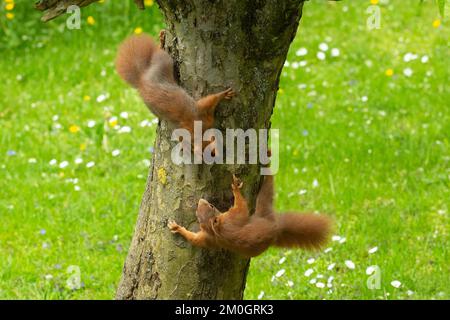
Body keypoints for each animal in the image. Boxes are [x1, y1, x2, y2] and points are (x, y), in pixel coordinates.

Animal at [167, 172, 332, 258]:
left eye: (210, 206)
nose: (201, 200)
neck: (216, 228)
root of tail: (277, 228)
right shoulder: (232, 218)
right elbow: (242, 206)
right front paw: (235, 187)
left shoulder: (208, 238)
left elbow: (194, 239)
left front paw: (177, 228)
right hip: (263, 206)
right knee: (267, 188)